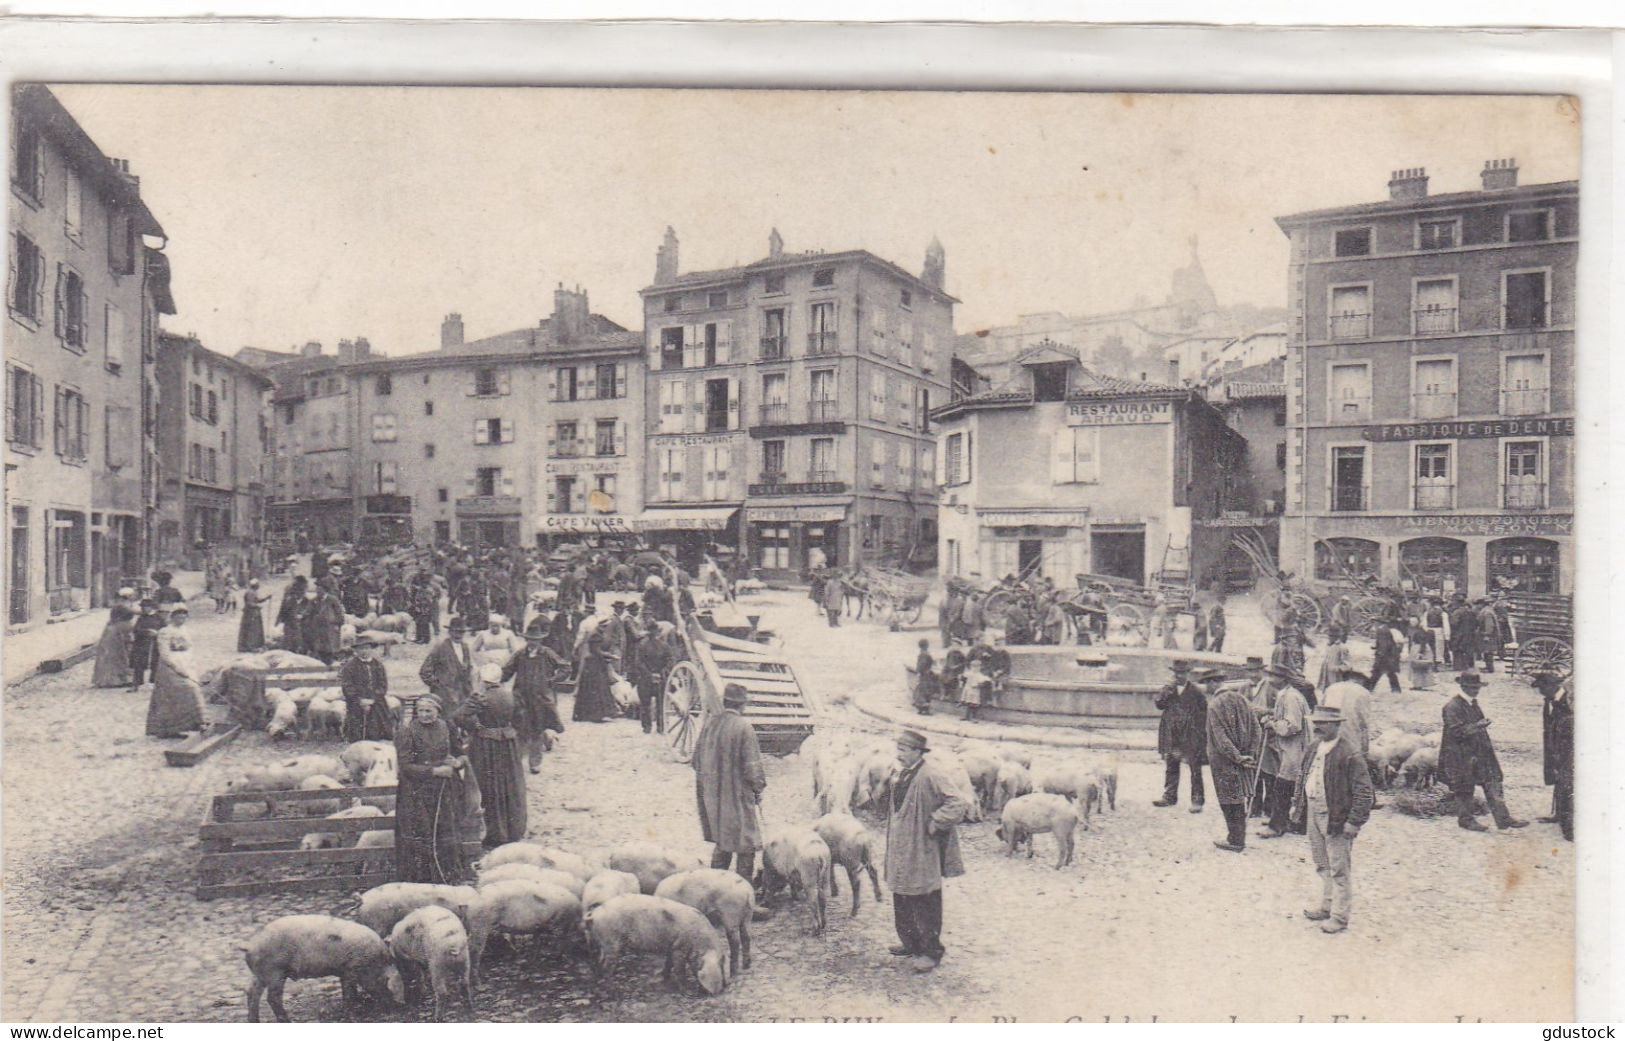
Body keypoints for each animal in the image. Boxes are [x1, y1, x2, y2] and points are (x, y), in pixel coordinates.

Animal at [243, 915, 403, 1019]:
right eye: (387, 982)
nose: (397, 1007)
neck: (373, 962)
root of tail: (250, 945)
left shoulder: (344, 971)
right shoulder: (351, 969)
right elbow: (350, 993)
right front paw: (352, 1013)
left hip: (260, 974)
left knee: (251, 993)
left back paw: (254, 1021)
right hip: (275, 972)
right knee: (272, 998)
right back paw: (287, 1021)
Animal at [585, 889, 731, 993]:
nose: (724, 987)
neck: (699, 940)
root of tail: (595, 914)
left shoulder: (672, 946)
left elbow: (668, 963)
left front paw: (663, 978)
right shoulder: (679, 948)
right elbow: (679, 969)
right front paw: (686, 991)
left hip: (603, 943)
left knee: (598, 961)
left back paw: (599, 980)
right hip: (611, 941)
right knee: (606, 966)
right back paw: (613, 990)